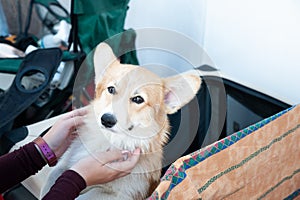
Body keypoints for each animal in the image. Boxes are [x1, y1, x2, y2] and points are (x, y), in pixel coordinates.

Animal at [41, 41, 202, 199]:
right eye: (111, 89)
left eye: (138, 99)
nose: (106, 120)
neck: (109, 140)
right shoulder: (64, 163)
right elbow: (51, 179)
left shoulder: (116, 193)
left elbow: (89, 193)